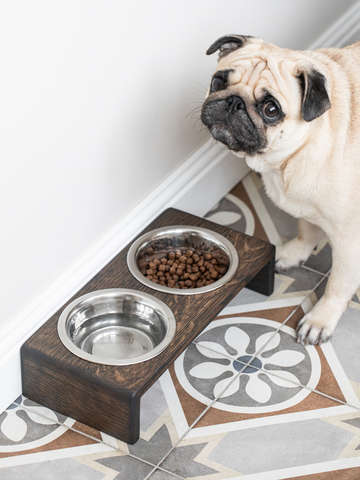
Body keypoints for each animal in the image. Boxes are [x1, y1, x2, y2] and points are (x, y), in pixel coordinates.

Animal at [201, 36, 360, 344]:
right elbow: (306, 230)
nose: (234, 102)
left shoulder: (350, 241)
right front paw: (293, 253)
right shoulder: (306, 202)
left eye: (271, 110)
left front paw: (320, 320)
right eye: (218, 82)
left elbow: (338, 284)